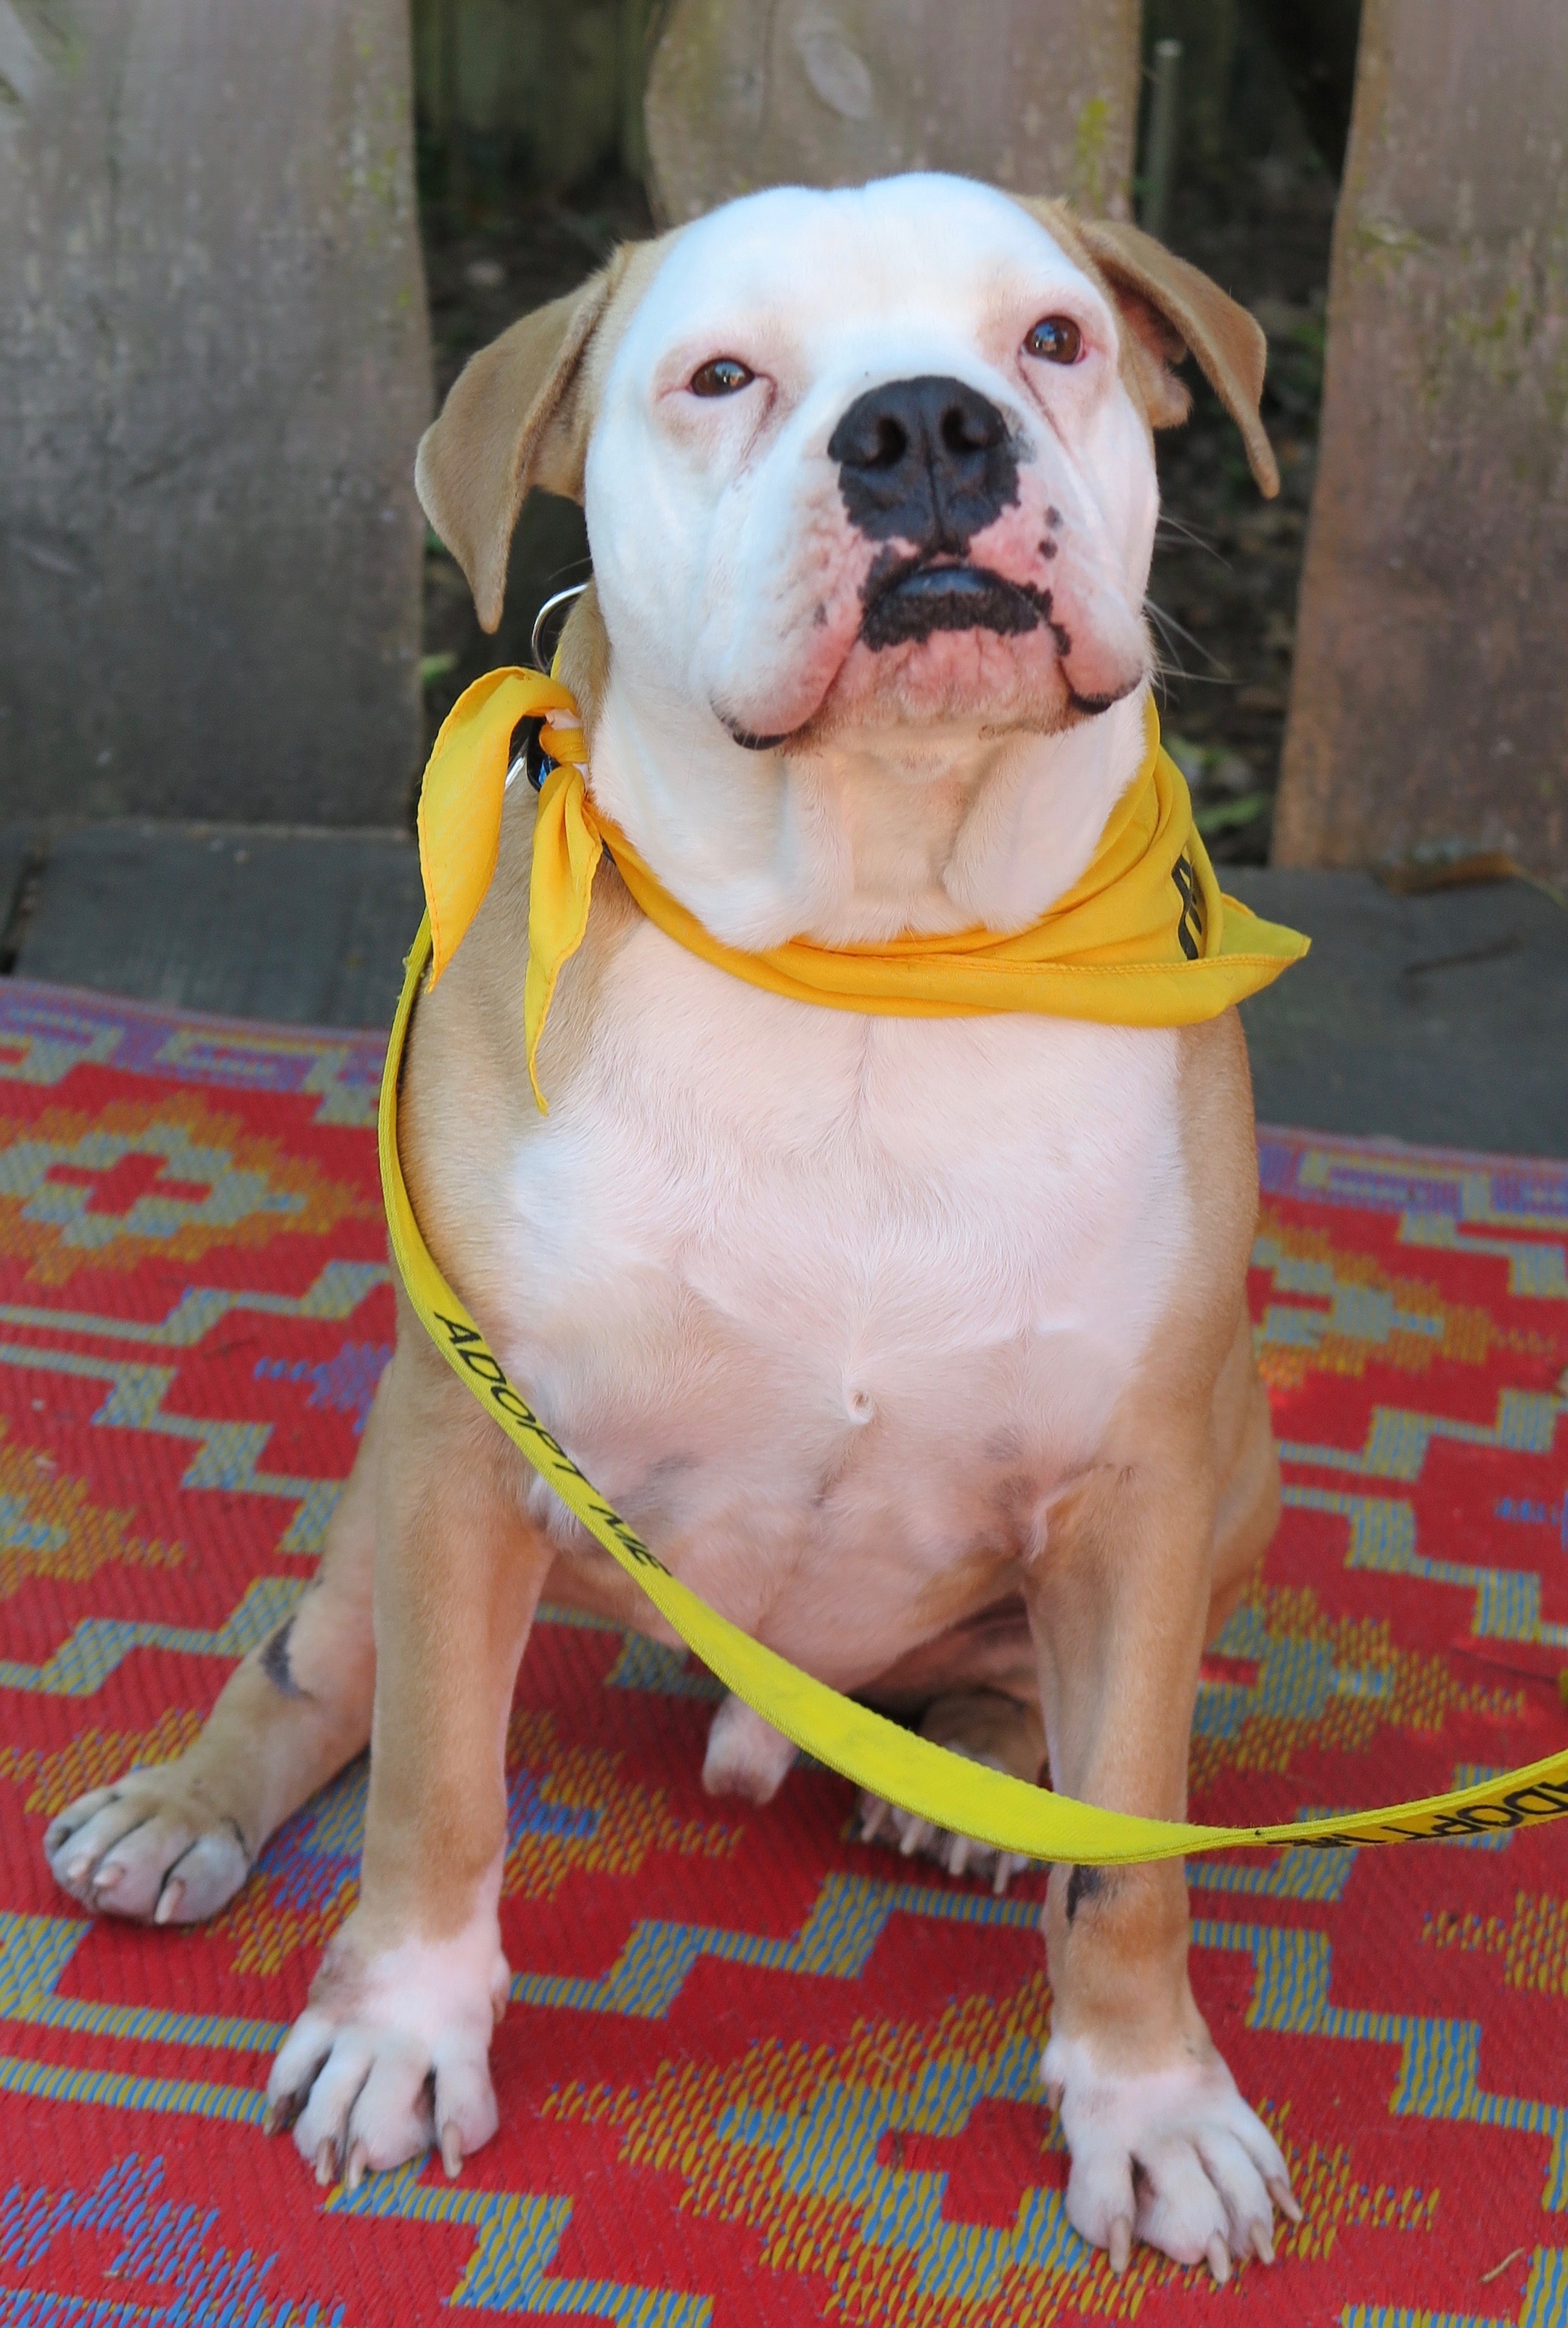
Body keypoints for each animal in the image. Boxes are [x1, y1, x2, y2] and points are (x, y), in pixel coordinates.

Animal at [44, 172, 1299, 2281]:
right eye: (721, 377)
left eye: (1049, 338)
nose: (924, 425)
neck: (878, 943)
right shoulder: (472, 1439)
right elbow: (437, 1791)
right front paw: (400, 2031)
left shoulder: (1141, 1474)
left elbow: (1133, 1862)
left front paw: (1151, 2105)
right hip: (397, 1473)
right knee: (318, 1671)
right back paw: (186, 1807)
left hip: (1237, 1460)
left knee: (1040, 1724)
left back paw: (979, 1761)